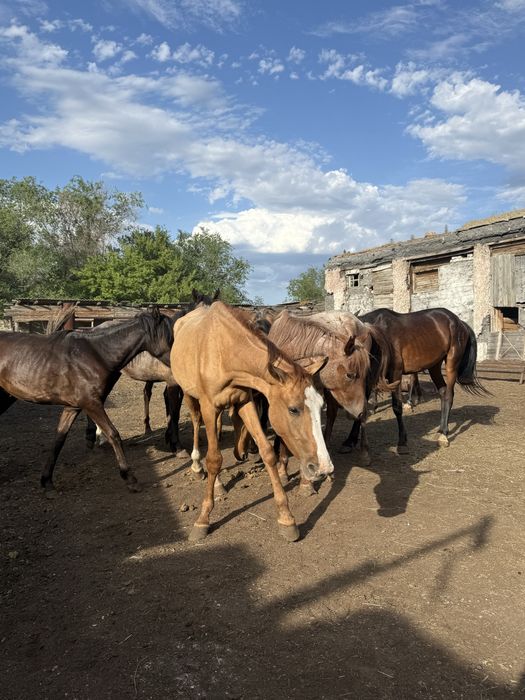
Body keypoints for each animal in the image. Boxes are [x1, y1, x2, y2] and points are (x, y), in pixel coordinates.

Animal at [0, 308, 173, 494]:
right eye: (171, 337)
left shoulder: (72, 408)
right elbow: (113, 434)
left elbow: (58, 440)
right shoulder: (91, 404)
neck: (97, 355)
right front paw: (130, 478)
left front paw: (47, 481)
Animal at [169, 301, 333, 542]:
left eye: (321, 406)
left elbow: (267, 452)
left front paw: (286, 518)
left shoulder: (245, 401)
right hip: (190, 395)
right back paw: (199, 468)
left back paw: (218, 482)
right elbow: (214, 459)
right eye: (293, 409)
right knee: (197, 423)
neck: (224, 352)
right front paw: (203, 519)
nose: (323, 467)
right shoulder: (209, 406)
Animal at [267, 310, 396, 487]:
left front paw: (306, 481)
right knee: (335, 415)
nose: (358, 412)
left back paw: (362, 451)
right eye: (350, 375)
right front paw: (284, 469)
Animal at [343, 307, 486, 454]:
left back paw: (444, 435)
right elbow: (362, 407)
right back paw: (440, 429)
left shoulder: (395, 374)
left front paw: (402, 441)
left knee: (448, 395)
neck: (381, 335)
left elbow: (397, 406)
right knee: (442, 392)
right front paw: (350, 441)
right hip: (434, 365)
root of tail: (459, 321)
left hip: (451, 363)